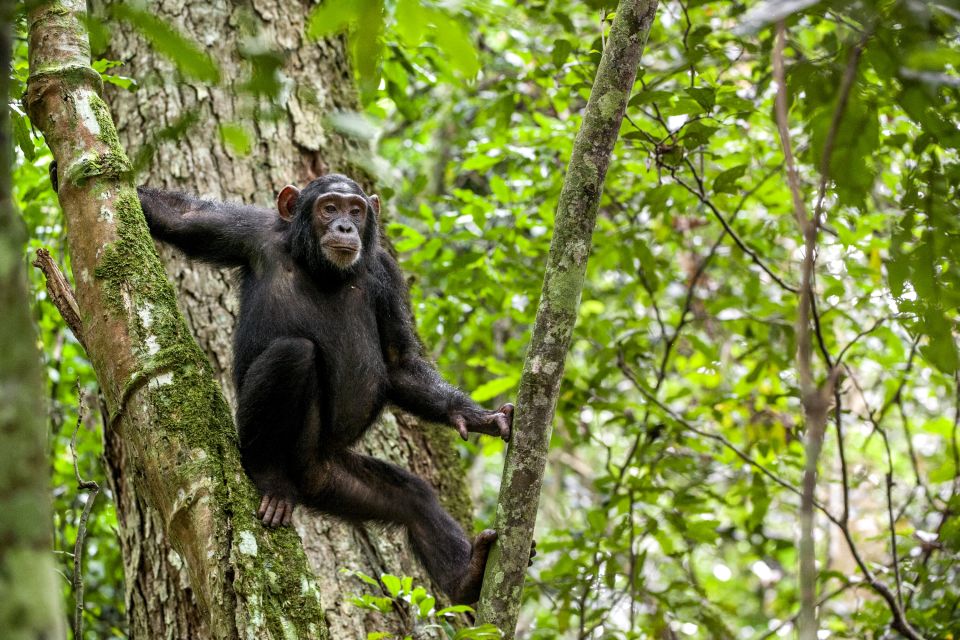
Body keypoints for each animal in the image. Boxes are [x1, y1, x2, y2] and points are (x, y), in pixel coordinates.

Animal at [135, 176, 516, 604]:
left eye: (356, 210)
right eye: (329, 208)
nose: (345, 227)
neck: (322, 269)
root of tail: (307, 479)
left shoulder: (387, 274)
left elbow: (399, 363)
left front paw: (475, 416)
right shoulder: (246, 230)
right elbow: (177, 216)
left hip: (335, 479)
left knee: (414, 500)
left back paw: (466, 576)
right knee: (292, 353)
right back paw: (269, 478)